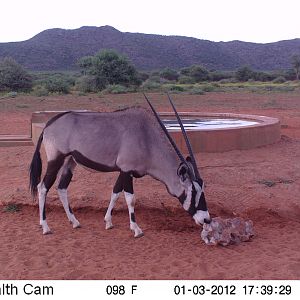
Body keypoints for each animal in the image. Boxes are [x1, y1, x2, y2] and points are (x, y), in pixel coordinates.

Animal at [29, 94, 210, 237]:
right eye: (193, 191)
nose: (206, 219)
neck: (147, 138)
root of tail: (49, 125)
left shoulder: (122, 172)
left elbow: (115, 192)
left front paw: (108, 222)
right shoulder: (126, 170)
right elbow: (130, 198)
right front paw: (136, 229)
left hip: (70, 162)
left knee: (61, 188)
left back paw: (74, 222)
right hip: (56, 160)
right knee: (42, 187)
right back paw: (45, 226)